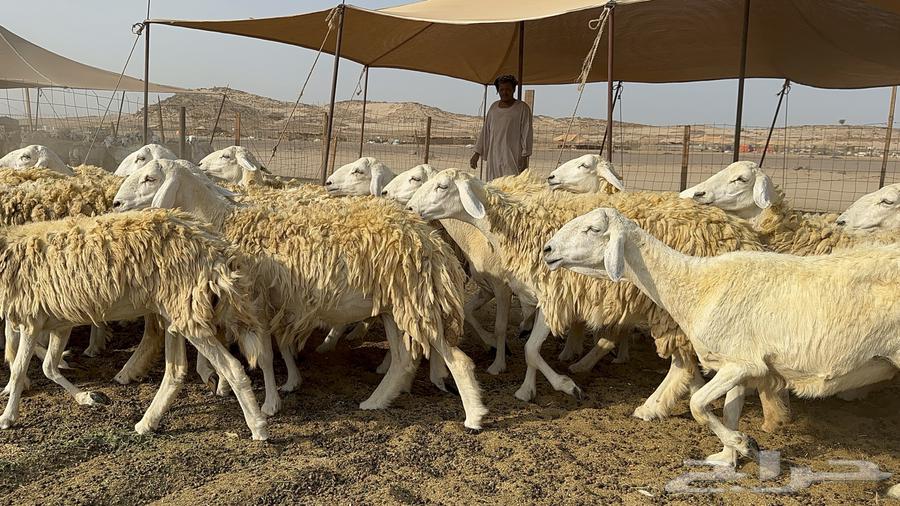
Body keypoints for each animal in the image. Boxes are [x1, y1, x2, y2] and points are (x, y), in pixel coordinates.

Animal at [0, 209, 270, 439]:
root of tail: (221, 253)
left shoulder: (30, 319)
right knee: (176, 371)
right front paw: (88, 397)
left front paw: (7, 417)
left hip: (187, 312)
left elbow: (19, 369)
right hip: (175, 311)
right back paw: (147, 423)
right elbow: (48, 367)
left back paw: (258, 427)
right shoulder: (59, 323)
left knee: (231, 367)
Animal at [113, 160, 487, 429]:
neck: (223, 220)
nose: (115, 203)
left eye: (150, 178)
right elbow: (263, 347)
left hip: (416, 299)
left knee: (456, 360)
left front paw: (268, 405)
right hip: (397, 306)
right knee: (403, 359)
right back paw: (375, 402)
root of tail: (431, 240)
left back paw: (473, 416)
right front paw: (231, 384)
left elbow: (264, 355)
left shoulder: (257, 302)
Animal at [406, 169, 788, 430]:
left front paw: (566, 386)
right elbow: (531, 350)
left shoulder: (556, 293)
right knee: (691, 364)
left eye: (441, 186)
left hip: (678, 309)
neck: (521, 225)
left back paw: (653, 407)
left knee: (683, 364)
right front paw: (528, 390)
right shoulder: (545, 296)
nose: (408, 207)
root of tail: (745, 234)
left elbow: (530, 349)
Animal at [543, 207, 900, 466]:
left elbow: (698, 404)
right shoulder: (737, 366)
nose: (547, 249)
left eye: (592, 229)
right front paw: (728, 458)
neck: (695, 284)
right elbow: (730, 410)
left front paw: (745, 444)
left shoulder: (743, 364)